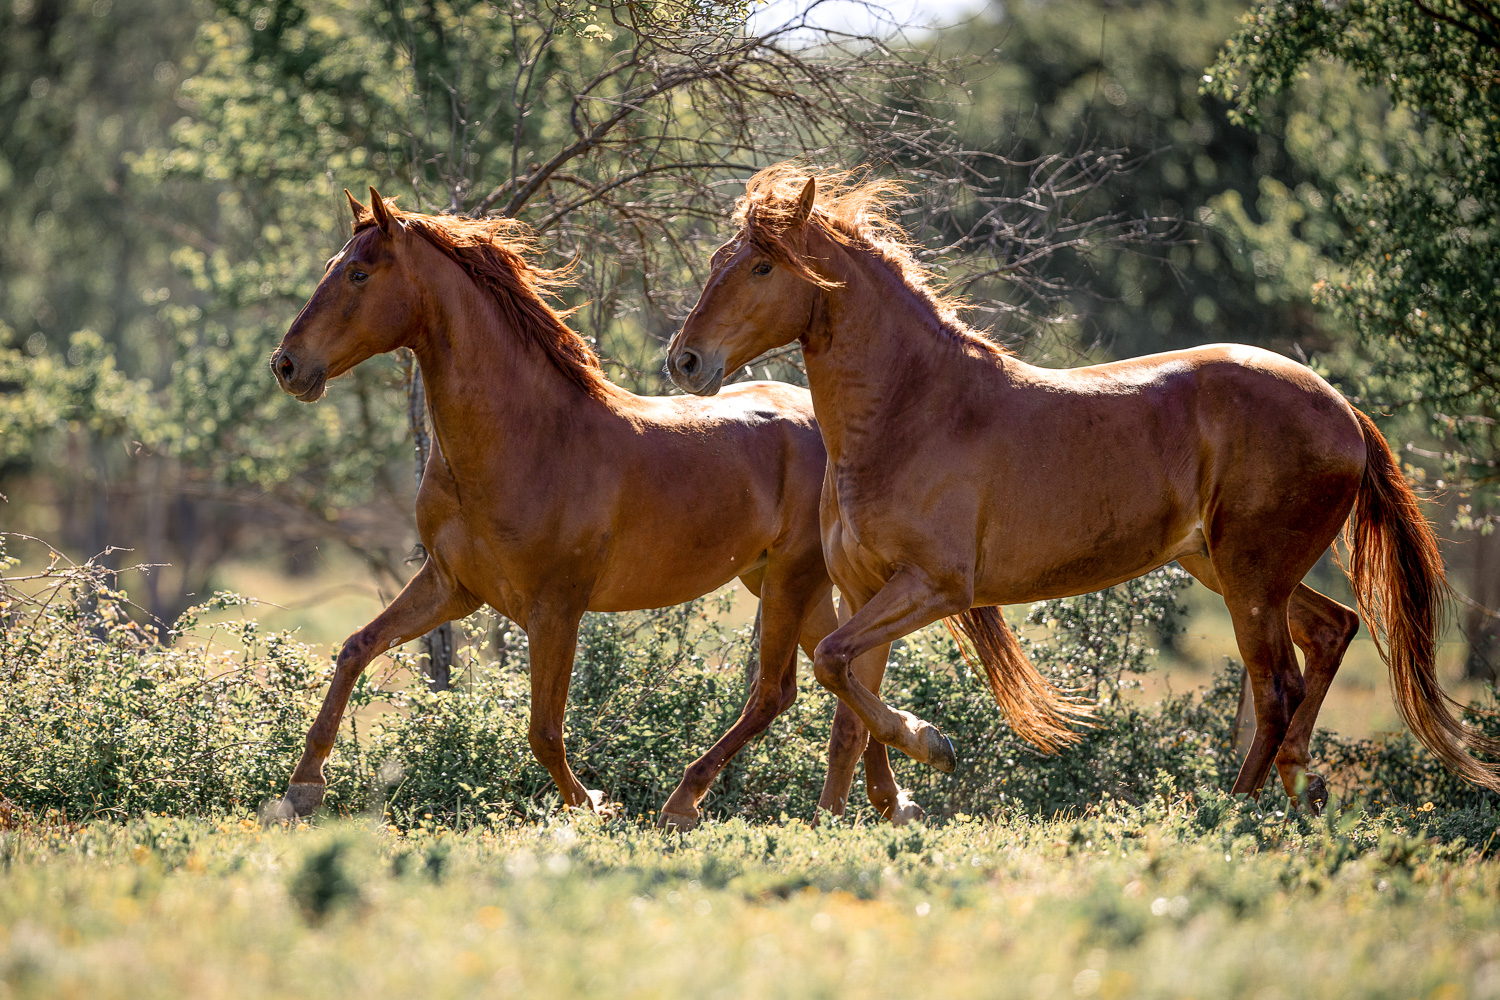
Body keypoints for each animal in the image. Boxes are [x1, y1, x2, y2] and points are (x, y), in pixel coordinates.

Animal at [273, 187, 924, 827]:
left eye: (358, 274)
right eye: (332, 265)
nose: (286, 365)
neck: (525, 437)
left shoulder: (556, 608)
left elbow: (543, 731)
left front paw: (590, 804)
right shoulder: (450, 585)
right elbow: (355, 648)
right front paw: (302, 789)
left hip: (793, 578)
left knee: (776, 692)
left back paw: (688, 801)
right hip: (779, 581)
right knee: (842, 674)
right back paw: (896, 795)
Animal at [669, 162, 1500, 803]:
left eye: (763, 266)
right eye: (715, 260)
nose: (684, 361)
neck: (914, 409)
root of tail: (1342, 409)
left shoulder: (935, 587)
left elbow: (833, 669)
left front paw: (930, 748)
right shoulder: (861, 587)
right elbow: (844, 701)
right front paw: (855, 812)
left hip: (1251, 580)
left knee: (1276, 691)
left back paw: (1235, 816)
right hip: (1232, 569)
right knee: (1331, 634)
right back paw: (1301, 788)